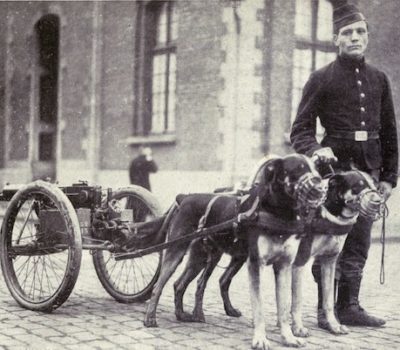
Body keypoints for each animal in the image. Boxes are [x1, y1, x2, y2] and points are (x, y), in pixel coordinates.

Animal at [144, 154, 324, 348]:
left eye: (316, 168)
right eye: (298, 169)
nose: (320, 185)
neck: (278, 213)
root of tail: (185, 198)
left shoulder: (283, 266)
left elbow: (283, 307)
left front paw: (288, 337)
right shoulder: (256, 265)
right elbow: (259, 307)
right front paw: (260, 339)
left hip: (203, 257)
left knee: (180, 283)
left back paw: (183, 315)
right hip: (176, 251)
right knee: (158, 286)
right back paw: (150, 318)